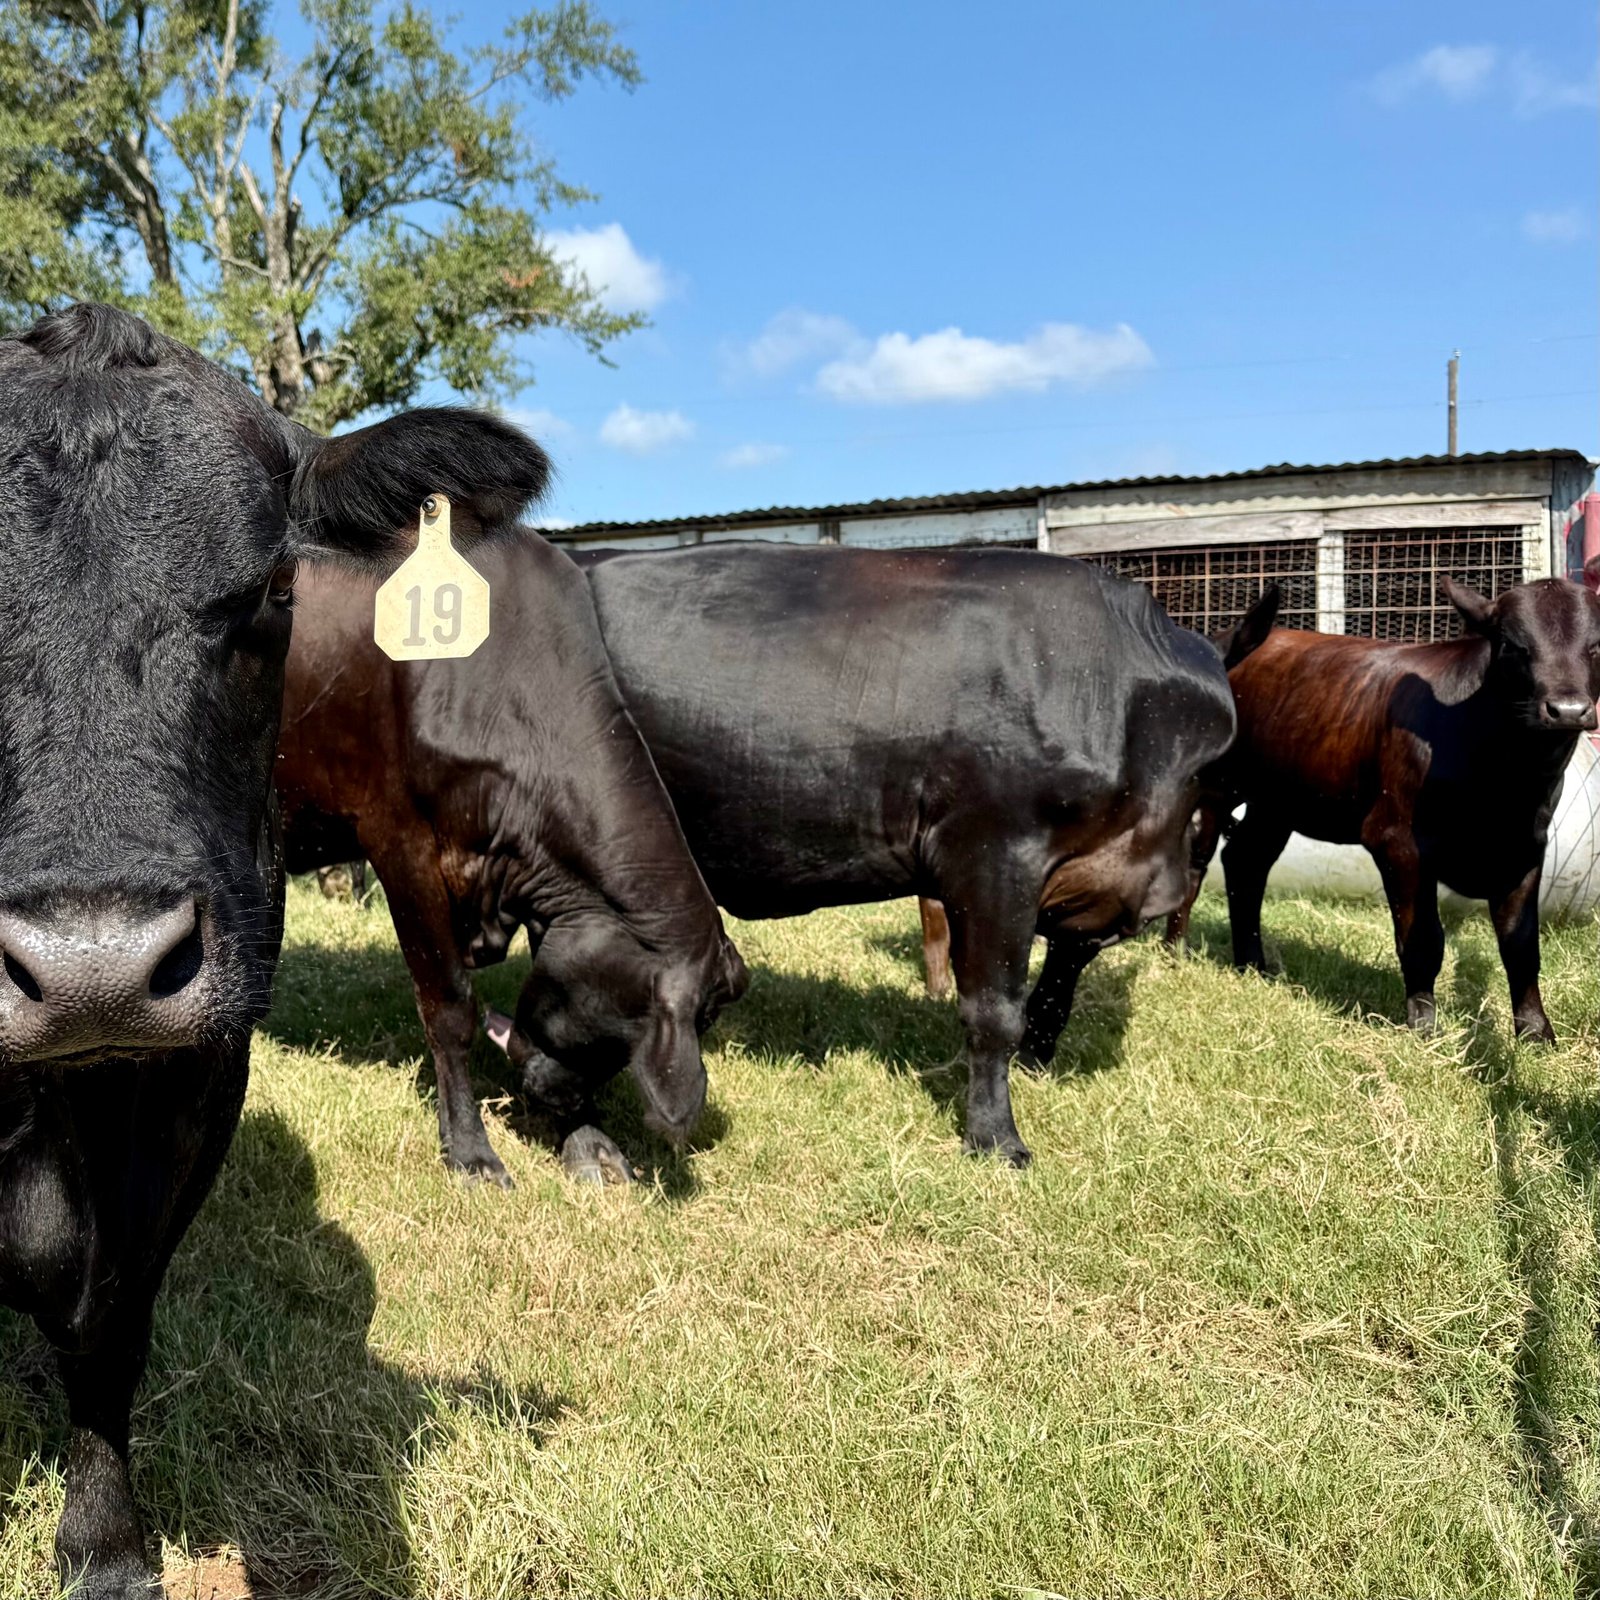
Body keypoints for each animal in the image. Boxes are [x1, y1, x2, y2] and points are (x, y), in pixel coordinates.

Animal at [274, 544, 748, 1190]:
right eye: (625, 1035)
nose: (556, 1095)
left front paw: (589, 1141)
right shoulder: (399, 840)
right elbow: (450, 1009)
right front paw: (472, 1151)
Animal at [568, 541, 1249, 1168]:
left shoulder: (1087, 880)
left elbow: (1059, 982)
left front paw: (1040, 1058)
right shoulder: (993, 856)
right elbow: (994, 1012)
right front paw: (995, 1139)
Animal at [1165, 573, 1600, 1040]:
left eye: (1596, 645)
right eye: (1513, 645)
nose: (1568, 709)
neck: (1507, 785)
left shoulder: (1524, 849)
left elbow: (1521, 946)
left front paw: (1536, 1032)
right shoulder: (1398, 840)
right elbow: (1424, 939)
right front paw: (1423, 1027)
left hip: (1276, 801)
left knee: (1246, 862)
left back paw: (1252, 965)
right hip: (1213, 788)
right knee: (1195, 865)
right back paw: (1176, 952)